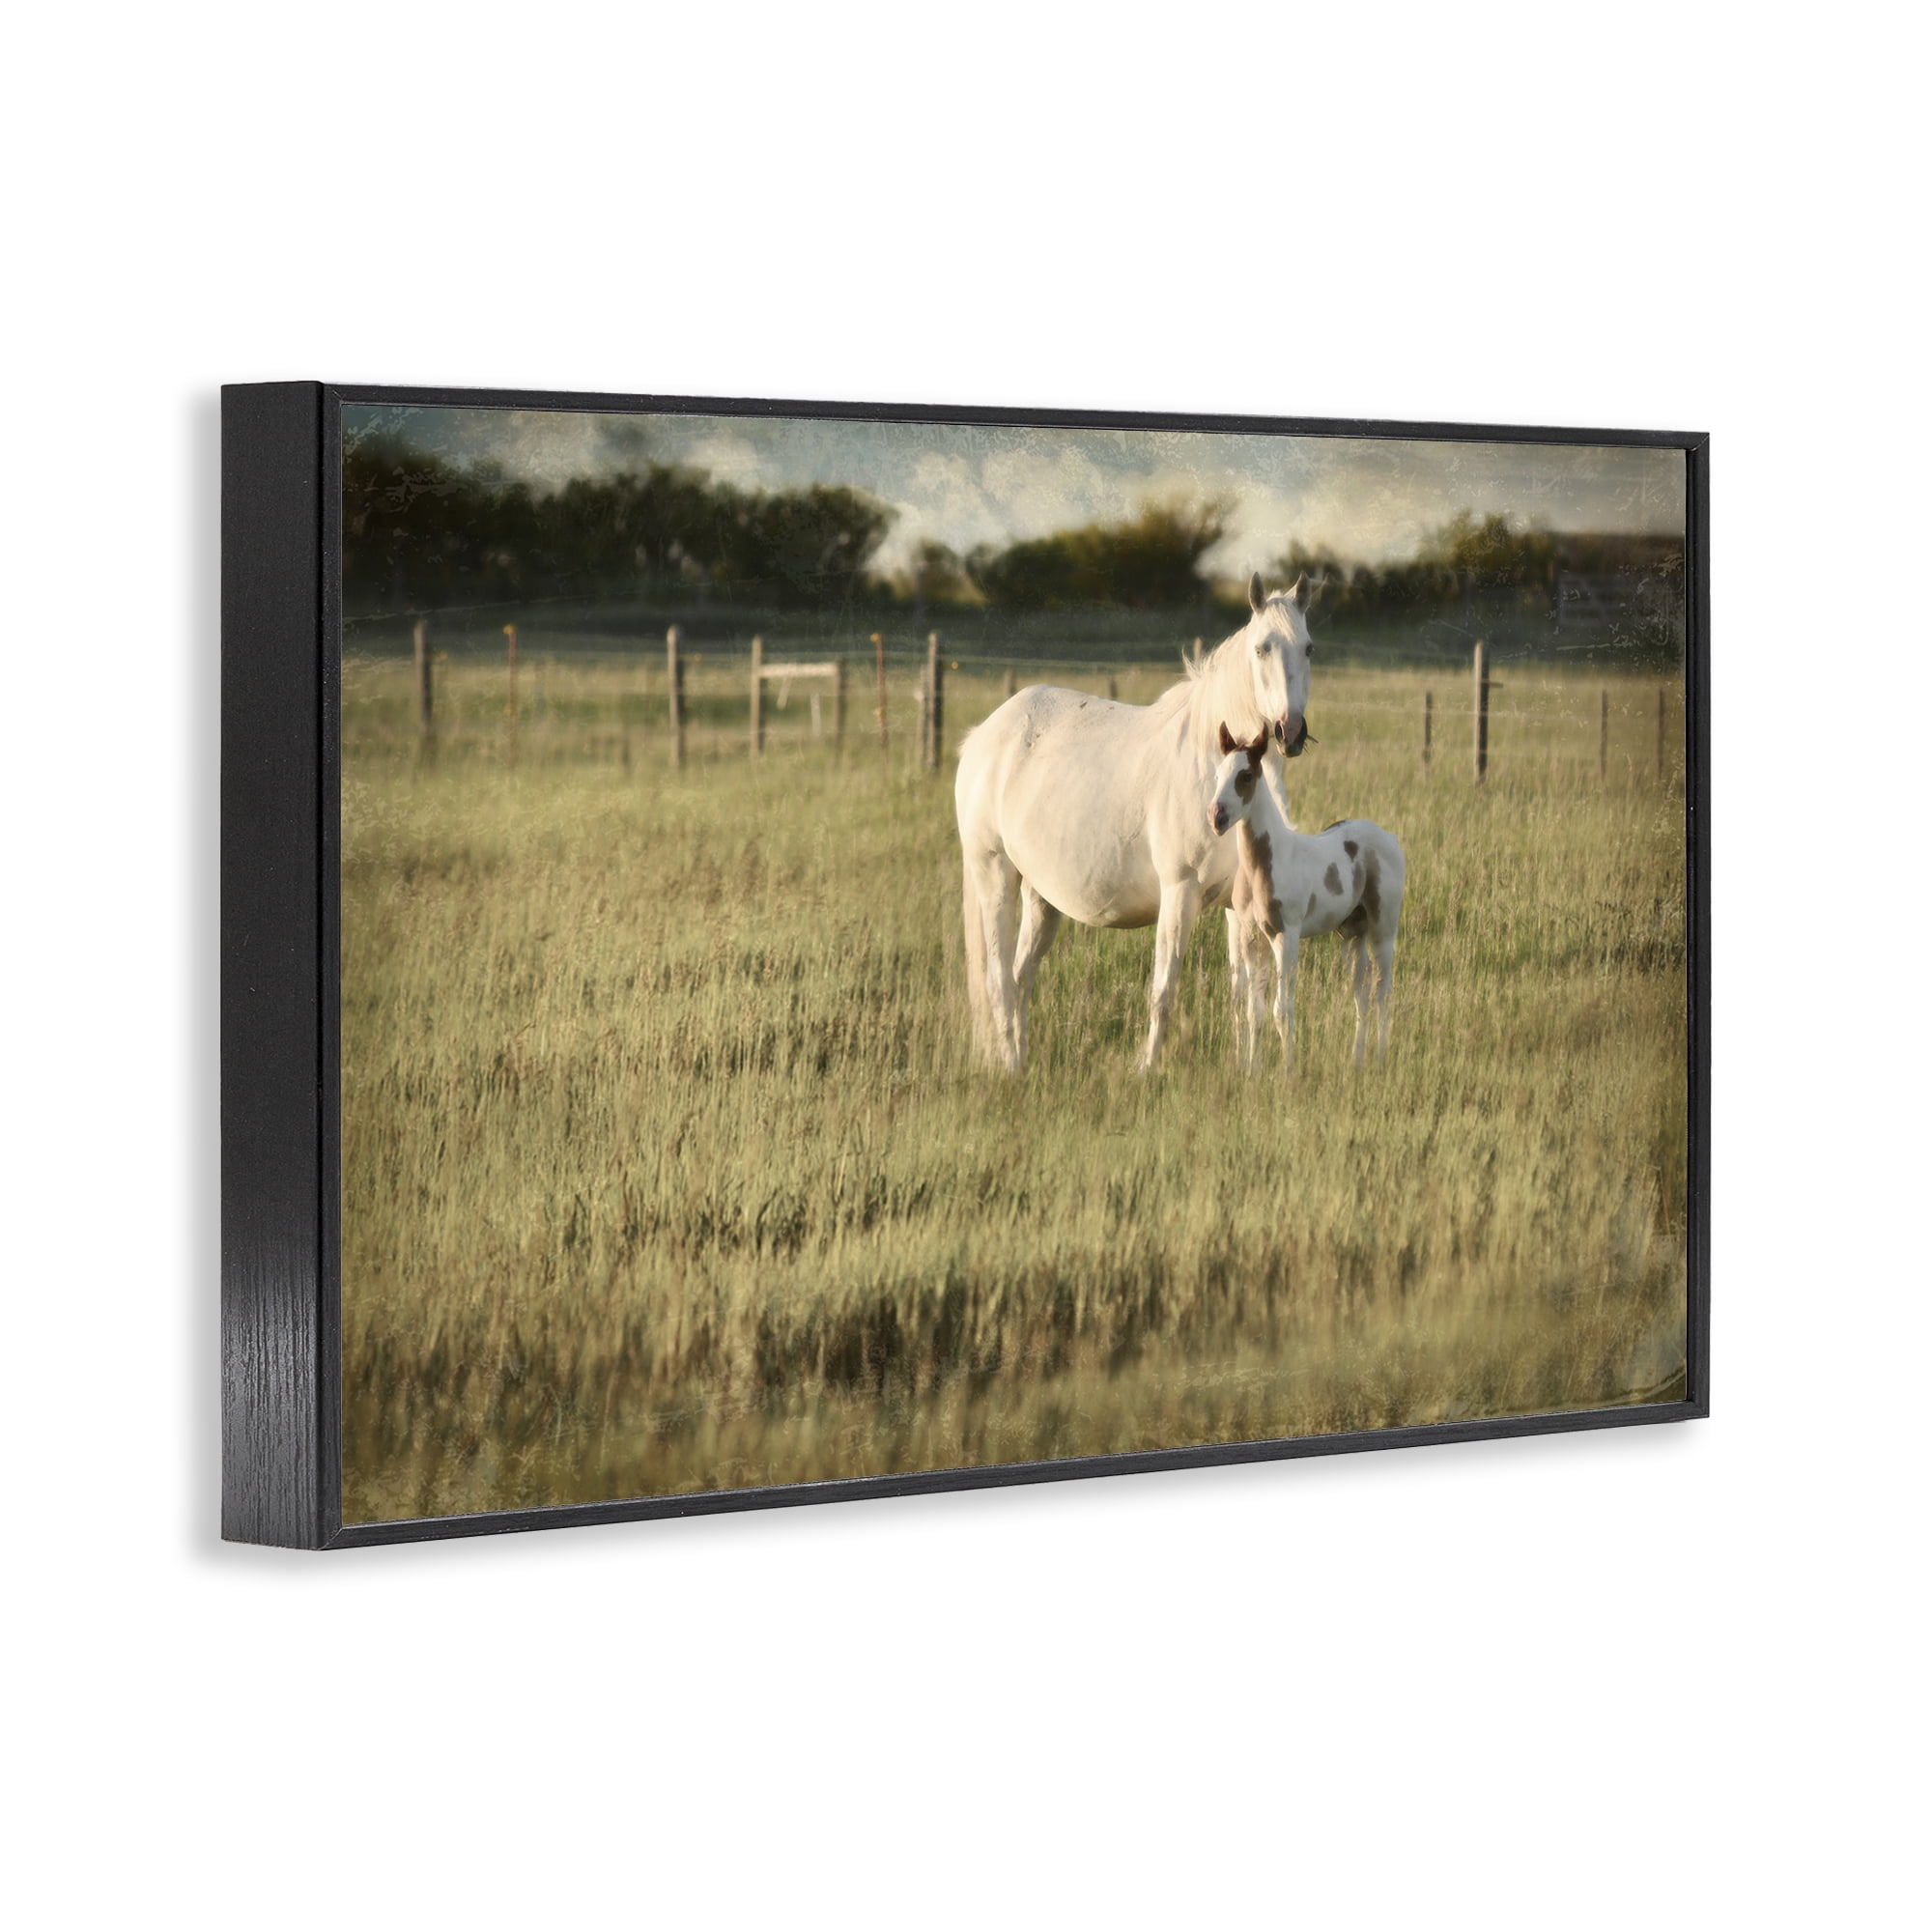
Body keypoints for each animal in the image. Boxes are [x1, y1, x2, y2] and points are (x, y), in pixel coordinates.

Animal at [955, 571, 1314, 1074]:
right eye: (1262, 648)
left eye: (1309, 648)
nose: (1290, 732)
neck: (1209, 764)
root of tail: (982, 737)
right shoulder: (1179, 893)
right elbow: (1164, 990)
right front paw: (1146, 1068)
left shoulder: (1236, 905)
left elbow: (1246, 995)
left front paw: (1245, 1067)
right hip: (994, 877)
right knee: (998, 982)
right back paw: (1010, 1068)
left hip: (1041, 897)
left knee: (1021, 975)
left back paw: (1022, 1061)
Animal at [1208, 724, 1406, 1074]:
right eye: (1218, 774)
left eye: (1246, 776)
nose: (1216, 817)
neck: (1263, 865)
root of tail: (1390, 838)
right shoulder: (1251, 938)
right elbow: (1255, 1011)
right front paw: (1252, 1070)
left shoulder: (1286, 936)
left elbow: (1281, 1009)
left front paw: (1287, 1070)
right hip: (1352, 934)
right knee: (1362, 990)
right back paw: (1357, 1060)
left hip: (1384, 929)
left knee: (1383, 990)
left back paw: (1380, 1058)